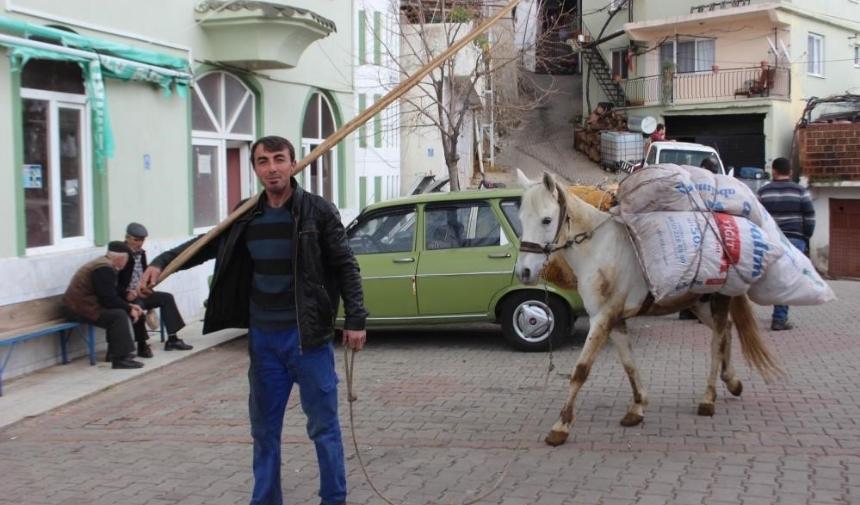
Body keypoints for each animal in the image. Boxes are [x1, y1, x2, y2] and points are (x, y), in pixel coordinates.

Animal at [512, 172, 784, 444]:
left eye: (547, 220)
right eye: (521, 218)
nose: (524, 272)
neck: (599, 250)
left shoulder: (602, 318)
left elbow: (581, 370)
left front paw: (561, 426)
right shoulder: (615, 320)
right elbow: (629, 364)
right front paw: (637, 407)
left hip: (718, 300)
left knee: (717, 341)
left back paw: (709, 399)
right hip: (698, 303)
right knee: (726, 330)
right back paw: (732, 381)